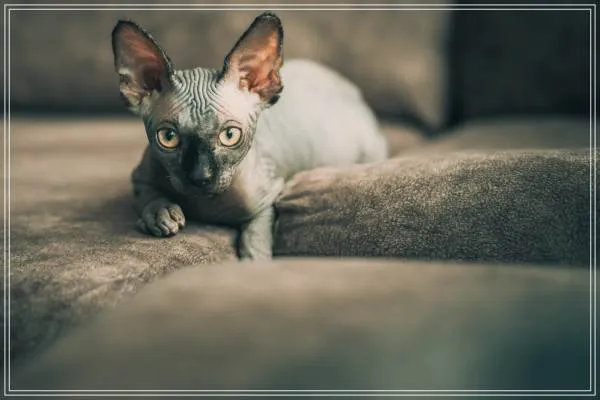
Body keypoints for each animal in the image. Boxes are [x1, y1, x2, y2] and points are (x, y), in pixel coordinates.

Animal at [111, 12, 388, 260]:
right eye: (168, 137)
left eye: (230, 135)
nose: (201, 177)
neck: (205, 204)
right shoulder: (140, 177)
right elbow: (148, 195)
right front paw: (161, 214)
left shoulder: (267, 198)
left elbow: (255, 240)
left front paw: (253, 263)